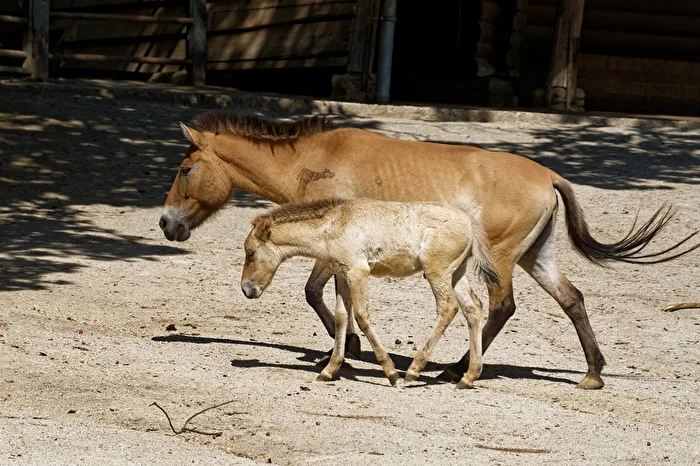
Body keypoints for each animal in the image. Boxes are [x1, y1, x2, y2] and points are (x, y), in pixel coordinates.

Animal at [239, 198, 501, 388]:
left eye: (251, 252)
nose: (246, 289)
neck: (334, 225)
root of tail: (470, 223)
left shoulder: (358, 272)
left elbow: (362, 316)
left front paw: (391, 372)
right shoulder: (342, 275)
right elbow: (342, 317)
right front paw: (329, 370)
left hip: (437, 272)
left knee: (448, 307)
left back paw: (413, 371)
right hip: (457, 273)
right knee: (473, 308)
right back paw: (468, 377)